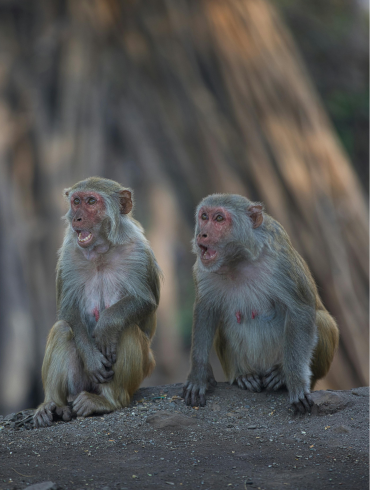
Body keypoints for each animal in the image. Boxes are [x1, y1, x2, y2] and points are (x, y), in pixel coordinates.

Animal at [34, 178, 161, 426]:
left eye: (91, 201)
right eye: (76, 201)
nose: (77, 218)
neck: (101, 251)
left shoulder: (139, 251)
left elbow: (144, 301)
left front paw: (107, 326)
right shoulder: (69, 254)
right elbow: (67, 309)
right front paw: (92, 358)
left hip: (142, 371)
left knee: (127, 329)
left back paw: (107, 401)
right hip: (81, 381)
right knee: (63, 329)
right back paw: (53, 405)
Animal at [184, 194, 340, 414]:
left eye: (219, 219)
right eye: (204, 216)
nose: (202, 234)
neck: (238, 260)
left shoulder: (280, 262)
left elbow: (300, 310)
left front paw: (295, 381)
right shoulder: (203, 269)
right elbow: (205, 311)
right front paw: (199, 375)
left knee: (322, 320)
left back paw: (280, 375)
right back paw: (243, 374)